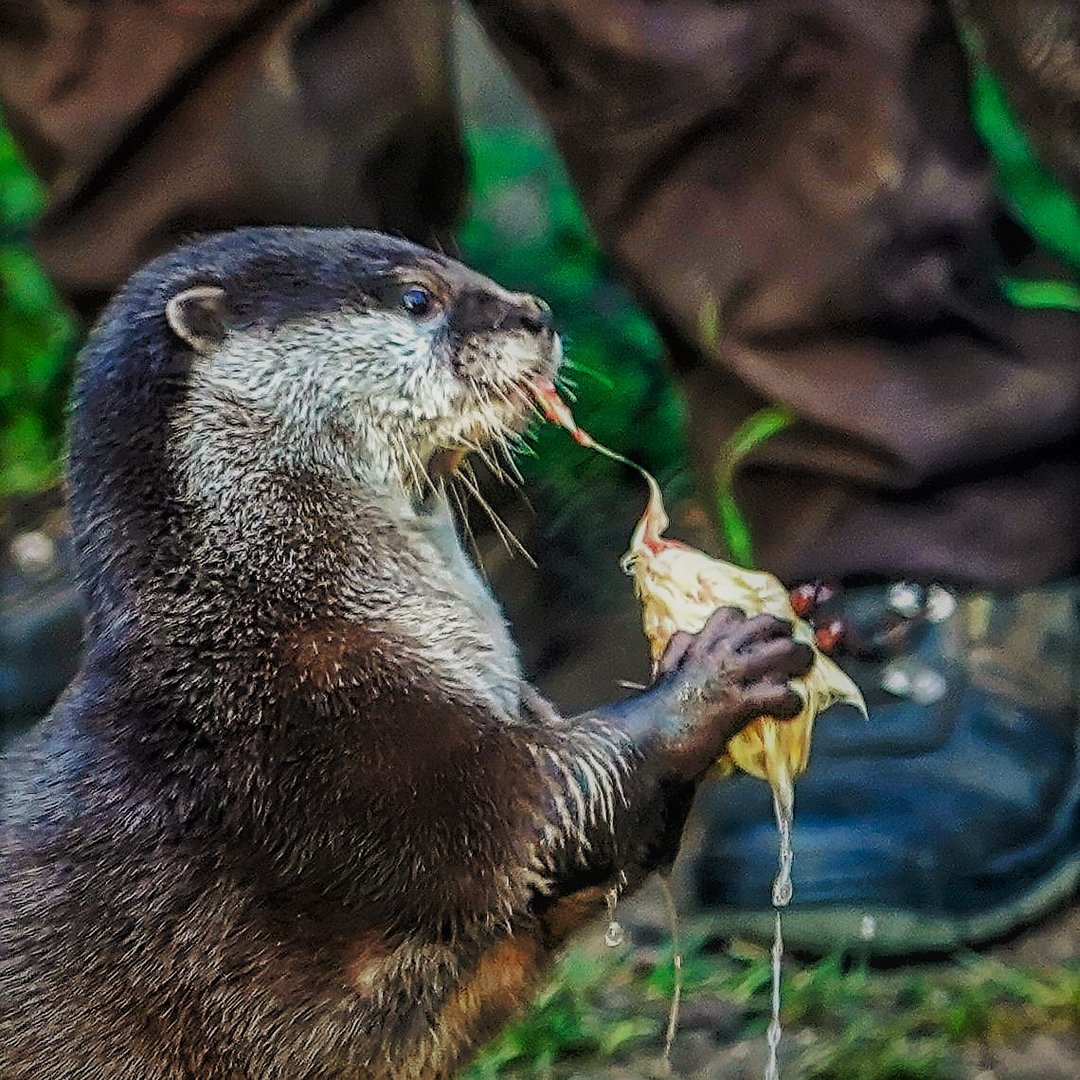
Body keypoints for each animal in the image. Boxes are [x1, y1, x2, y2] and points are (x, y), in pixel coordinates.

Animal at [0, 230, 812, 1080]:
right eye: (418, 298)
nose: (537, 313)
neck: (267, 609)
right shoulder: (332, 749)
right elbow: (541, 807)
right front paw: (717, 666)